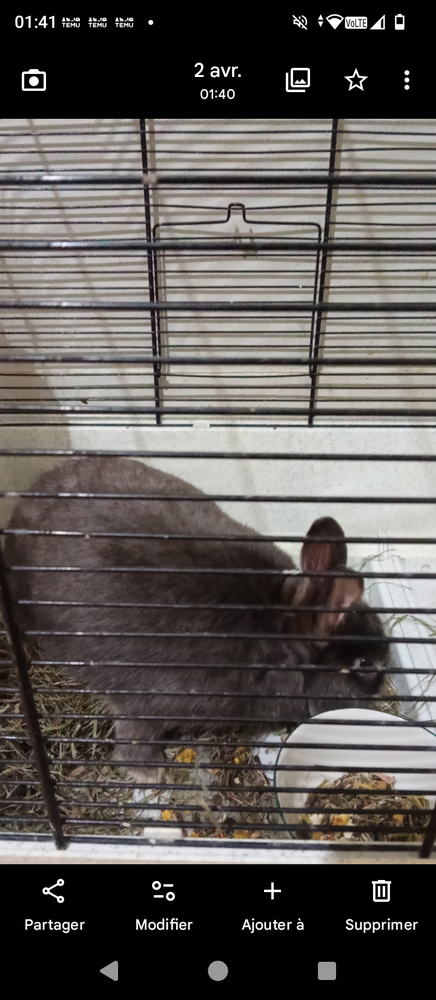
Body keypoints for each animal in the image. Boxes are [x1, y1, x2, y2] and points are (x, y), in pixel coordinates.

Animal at [3, 456, 389, 783]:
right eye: (365, 664)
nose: (382, 684)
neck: (278, 633)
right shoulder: (145, 705)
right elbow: (134, 742)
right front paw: (151, 775)